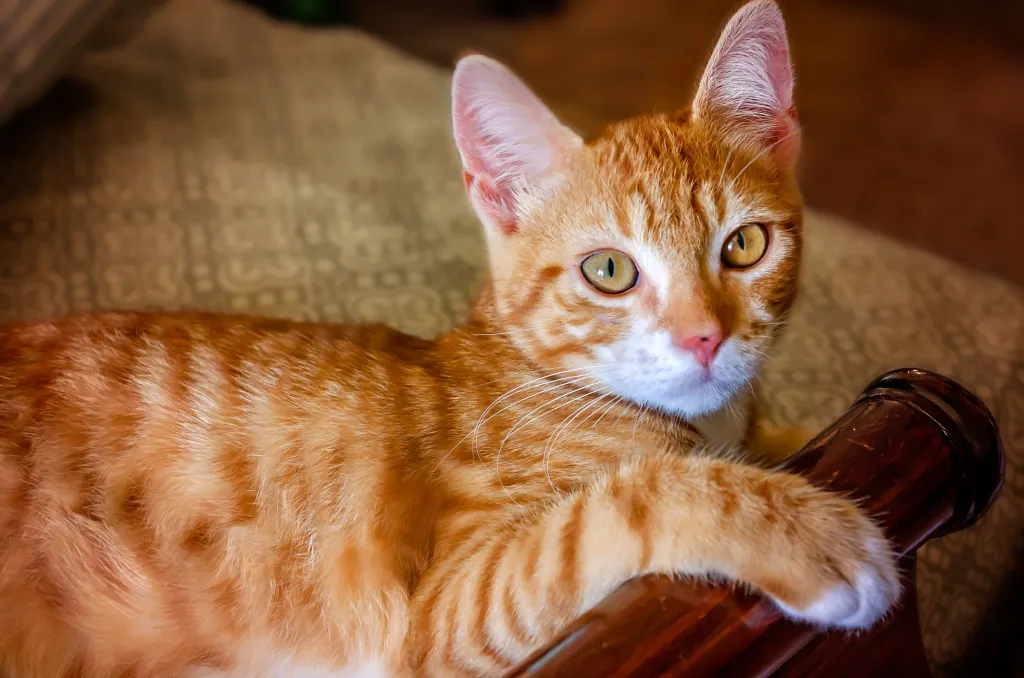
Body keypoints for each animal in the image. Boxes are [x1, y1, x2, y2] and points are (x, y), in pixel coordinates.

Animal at [0, 2, 897, 675]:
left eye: (743, 246)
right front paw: (805, 527)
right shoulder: (443, 611)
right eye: (609, 270)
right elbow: (635, 496)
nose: (705, 338)